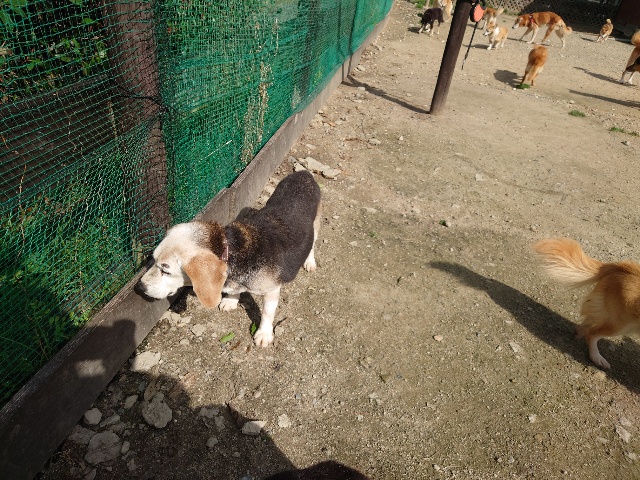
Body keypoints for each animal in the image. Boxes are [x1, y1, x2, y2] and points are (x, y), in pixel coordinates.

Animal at [137, 170, 322, 348]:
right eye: (153, 260)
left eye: (166, 270)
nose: (140, 287)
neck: (232, 248)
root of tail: (304, 173)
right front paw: (231, 300)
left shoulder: (272, 289)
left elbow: (267, 313)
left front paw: (264, 333)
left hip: (316, 225)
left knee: (312, 244)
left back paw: (309, 262)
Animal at [534, 238, 640, 370]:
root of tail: (622, 266)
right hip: (621, 324)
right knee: (591, 333)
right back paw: (596, 357)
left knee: (586, 325)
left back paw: (578, 334)